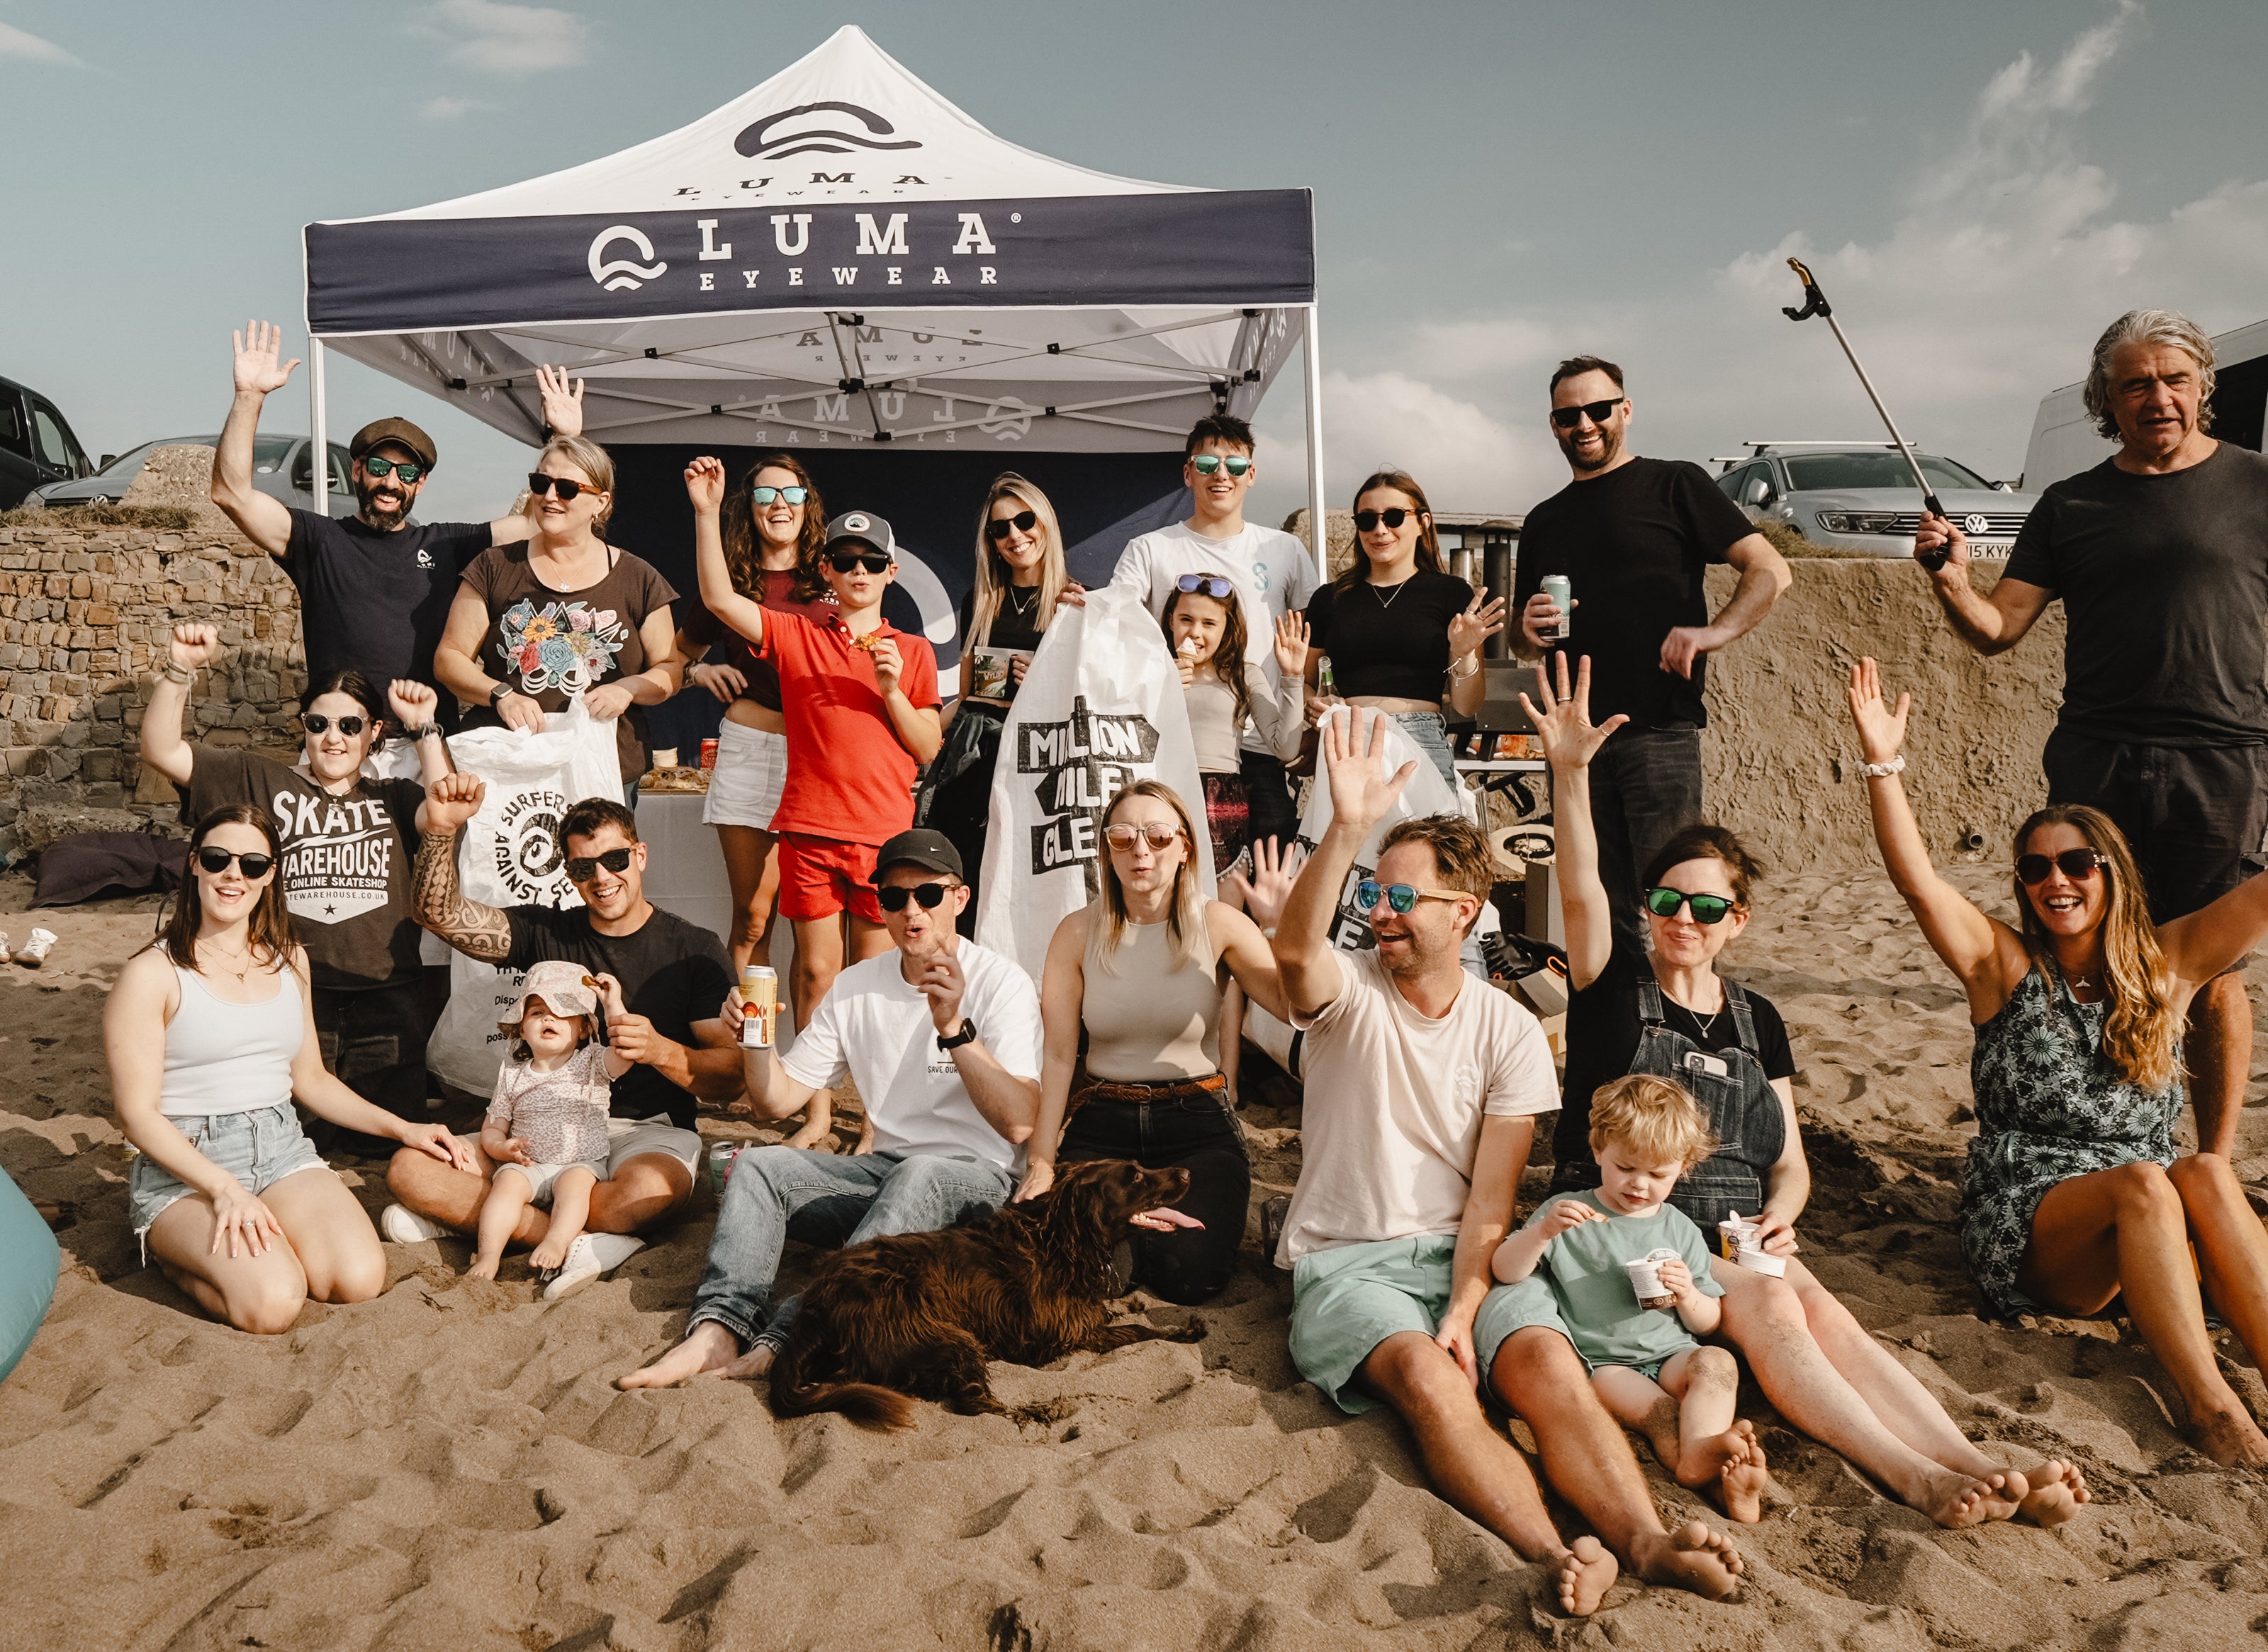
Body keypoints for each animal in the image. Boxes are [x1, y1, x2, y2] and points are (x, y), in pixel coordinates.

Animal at [771, 1157, 1206, 1425]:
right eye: (1135, 1176)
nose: (1188, 1173)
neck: (1059, 1239)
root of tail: (816, 1308)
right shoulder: (1069, 1334)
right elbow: (1139, 1331)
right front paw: (1184, 1332)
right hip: (944, 1335)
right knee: (973, 1403)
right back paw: (1035, 1412)